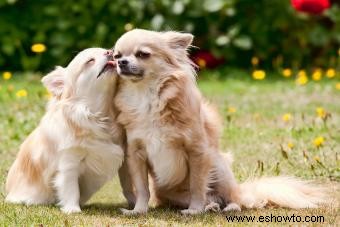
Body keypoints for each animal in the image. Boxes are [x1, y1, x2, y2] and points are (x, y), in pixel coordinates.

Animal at [4, 47, 127, 213]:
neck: (98, 114)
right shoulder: (69, 163)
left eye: (109, 51)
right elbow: (70, 188)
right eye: (90, 61)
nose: (110, 51)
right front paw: (72, 209)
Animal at [114, 29, 330, 215]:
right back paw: (211, 206)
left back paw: (228, 207)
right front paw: (138, 211)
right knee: (211, 198)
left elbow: (197, 185)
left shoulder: (197, 151)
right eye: (116, 56)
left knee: (231, 197)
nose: (121, 62)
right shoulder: (136, 154)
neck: (146, 96)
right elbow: (142, 188)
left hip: (219, 167)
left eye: (142, 54)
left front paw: (194, 210)